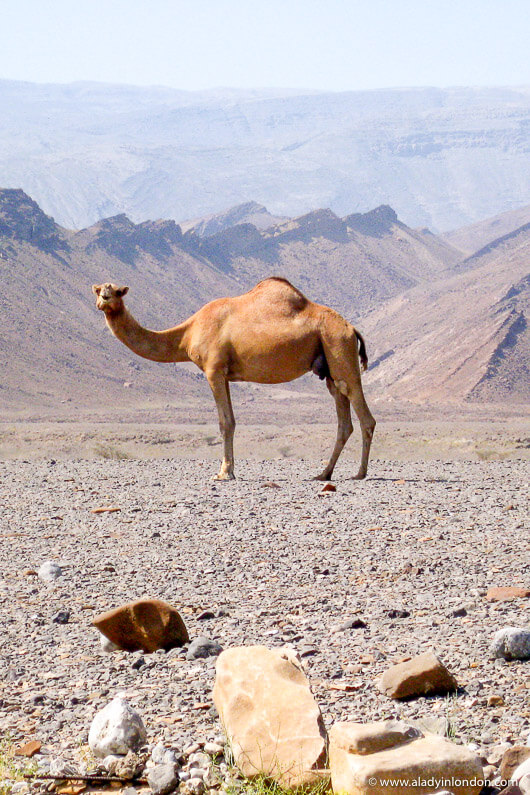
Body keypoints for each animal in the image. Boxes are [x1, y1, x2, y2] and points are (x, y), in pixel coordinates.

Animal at [92, 277, 376, 481]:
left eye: (116, 291)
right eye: (98, 290)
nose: (103, 300)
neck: (187, 333)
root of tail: (351, 328)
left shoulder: (213, 370)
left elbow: (225, 422)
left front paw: (224, 473)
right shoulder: (225, 374)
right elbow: (231, 420)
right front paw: (229, 470)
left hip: (338, 347)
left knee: (364, 414)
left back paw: (359, 473)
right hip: (329, 365)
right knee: (344, 419)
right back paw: (323, 474)